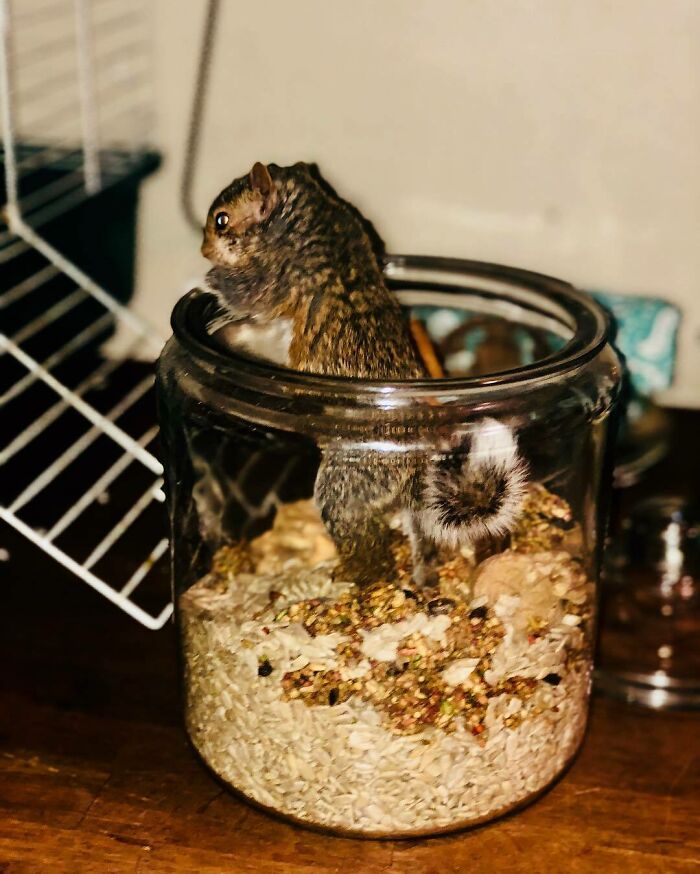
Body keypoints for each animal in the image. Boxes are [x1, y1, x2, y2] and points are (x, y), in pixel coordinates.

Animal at [200, 161, 527, 585]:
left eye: (221, 220)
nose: (203, 250)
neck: (316, 218)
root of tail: (415, 464)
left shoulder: (277, 278)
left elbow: (244, 294)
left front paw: (209, 280)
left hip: (352, 481)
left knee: (362, 536)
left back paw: (357, 574)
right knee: (421, 535)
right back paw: (423, 574)